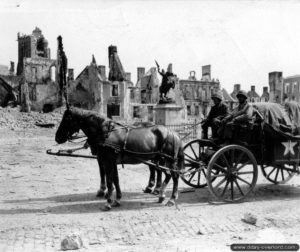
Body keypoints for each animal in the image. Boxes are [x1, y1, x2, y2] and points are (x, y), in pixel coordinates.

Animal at [55, 107, 184, 210]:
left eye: (66, 119)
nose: (57, 137)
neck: (106, 133)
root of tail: (173, 132)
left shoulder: (107, 161)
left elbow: (109, 181)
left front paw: (108, 202)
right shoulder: (111, 162)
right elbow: (115, 179)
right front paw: (117, 199)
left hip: (169, 160)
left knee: (174, 176)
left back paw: (171, 199)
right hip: (163, 160)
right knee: (167, 174)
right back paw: (161, 195)